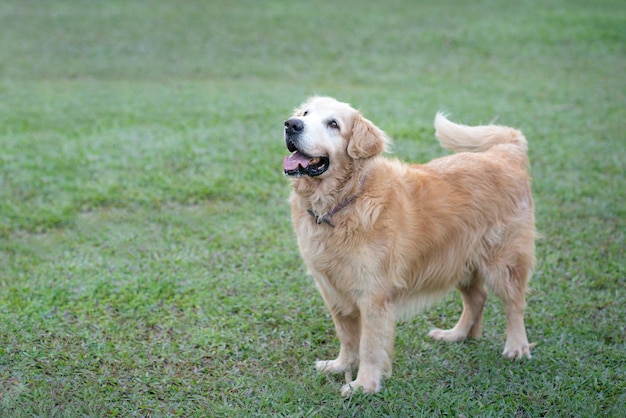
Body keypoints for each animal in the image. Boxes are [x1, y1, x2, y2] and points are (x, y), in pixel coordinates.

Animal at [282, 95, 532, 396]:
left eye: (333, 124)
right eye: (305, 114)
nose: (291, 124)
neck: (344, 201)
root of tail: (505, 153)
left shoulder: (373, 294)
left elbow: (369, 345)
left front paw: (363, 385)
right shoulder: (331, 289)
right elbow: (347, 337)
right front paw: (341, 366)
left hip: (503, 262)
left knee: (515, 304)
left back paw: (517, 347)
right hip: (459, 259)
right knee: (477, 298)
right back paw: (456, 335)